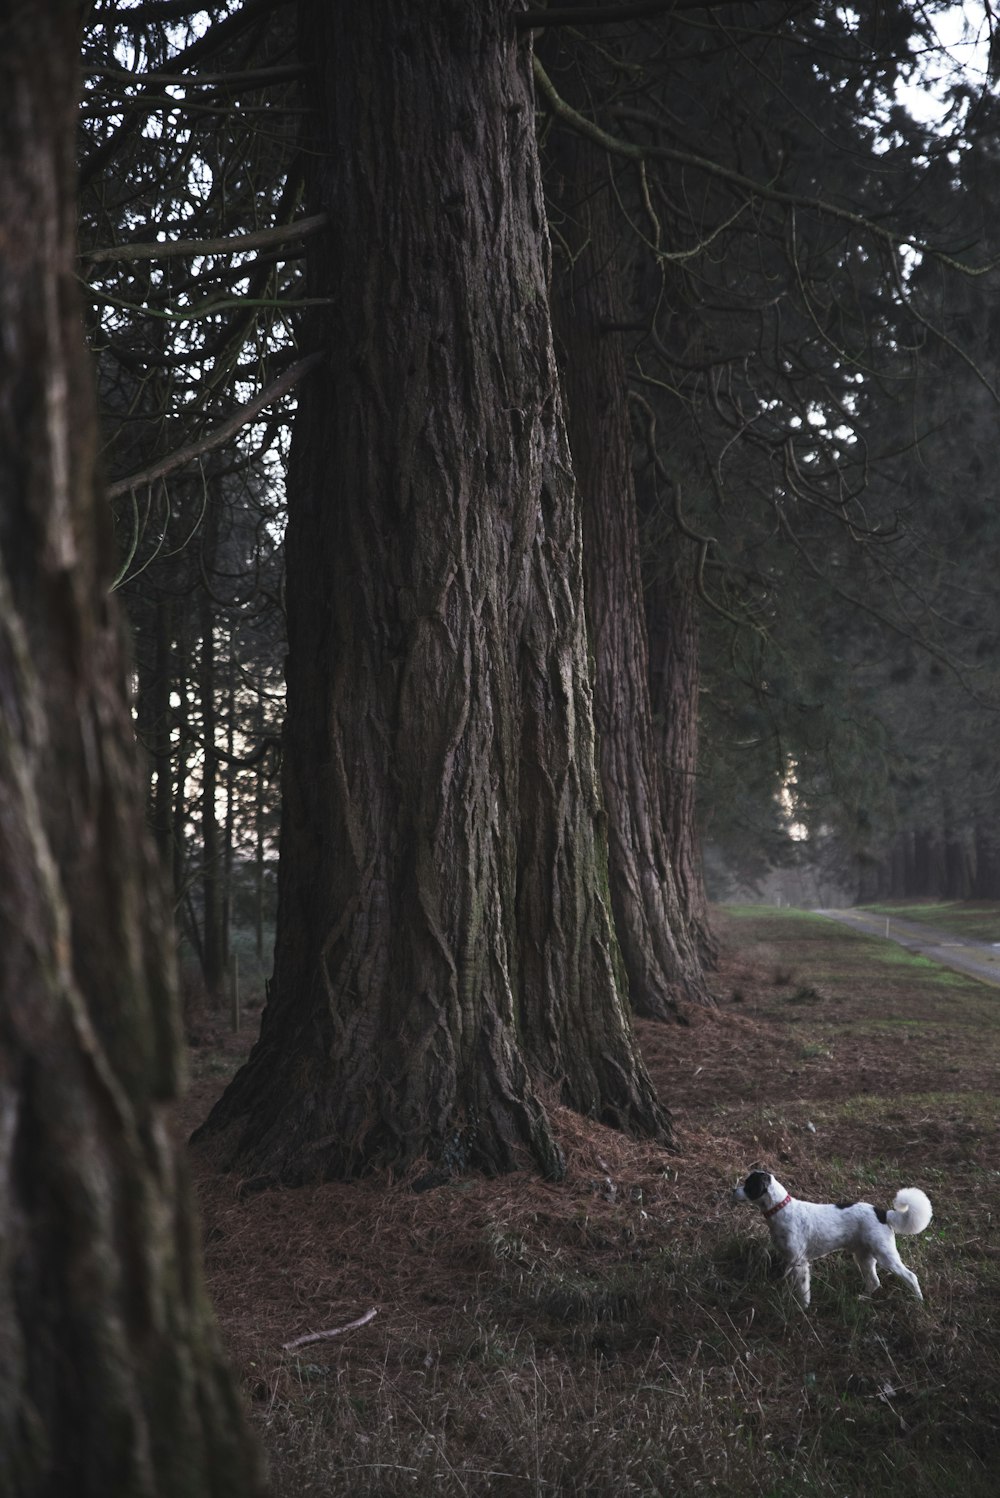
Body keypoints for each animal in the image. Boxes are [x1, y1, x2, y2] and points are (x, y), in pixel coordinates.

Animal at [730, 1162, 934, 1306]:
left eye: (748, 1184)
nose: (733, 1190)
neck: (781, 1209)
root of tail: (883, 1213)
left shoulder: (799, 1261)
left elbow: (803, 1291)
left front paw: (802, 1309)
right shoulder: (789, 1259)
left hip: (886, 1256)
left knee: (910, 1276)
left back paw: (918, 1301)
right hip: (864, 1256)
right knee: (874, 1282)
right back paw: (862, 1299)